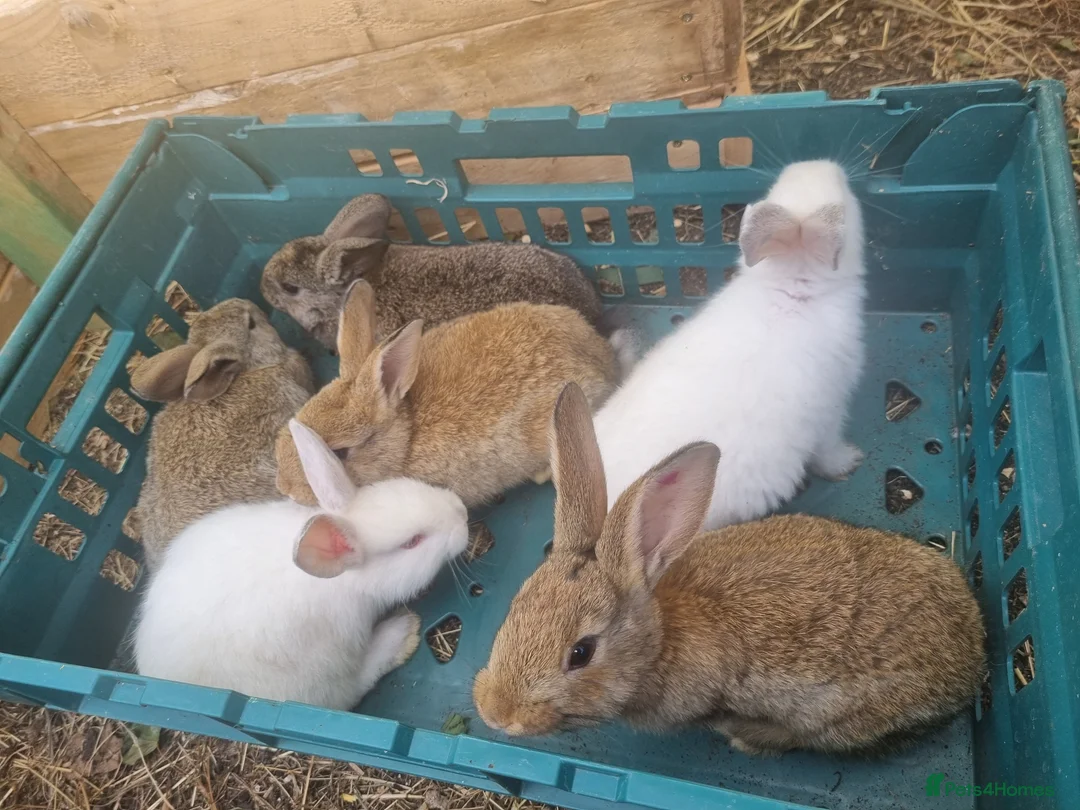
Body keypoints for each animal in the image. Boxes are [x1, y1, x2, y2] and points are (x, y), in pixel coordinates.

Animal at [134, 419, 469, 710]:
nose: (462, 514)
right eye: (412, 542)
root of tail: (155, 674)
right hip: (312, 680)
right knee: (349, 691)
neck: (343, 579)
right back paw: (403, 633)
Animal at [473, 383, 986, 755]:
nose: (495, 712)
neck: (660, 641)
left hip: (841, 720)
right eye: (515, 608)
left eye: (581, 653)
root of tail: (975, 655)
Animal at [592, 159, 867, 530]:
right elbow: (827, 452)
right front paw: (850, 461)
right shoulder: (829, 413)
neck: (791, 290)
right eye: (847, 198)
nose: (824, 163)